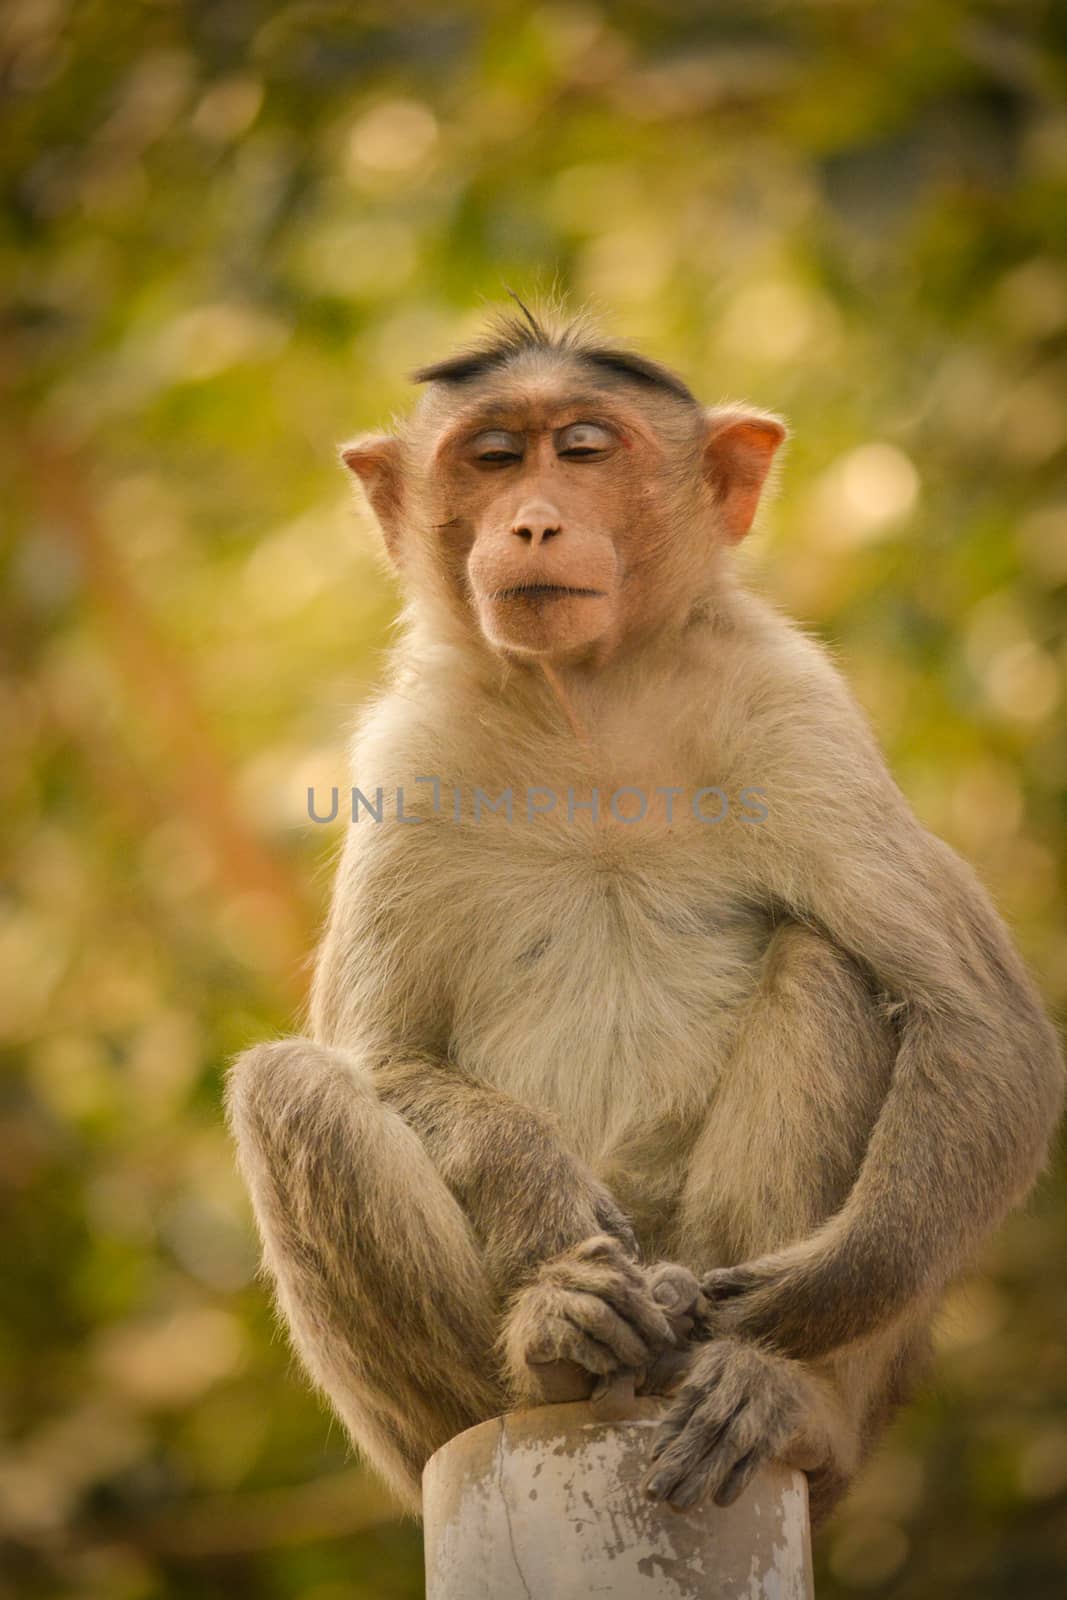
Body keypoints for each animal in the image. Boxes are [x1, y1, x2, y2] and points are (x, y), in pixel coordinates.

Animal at [223, 297, 1062, 1523]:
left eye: (582, 450)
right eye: (490, 458)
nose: (530, 523)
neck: (592, 707)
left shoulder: (797, 713)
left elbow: (981, 1025)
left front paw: (789, 1301)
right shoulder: (410, 756)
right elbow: (383, 1052)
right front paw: (540, 1191)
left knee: (824, 965)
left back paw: (768, 1388)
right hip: (422, 1437)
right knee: (293, 1090)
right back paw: (551, 1346)